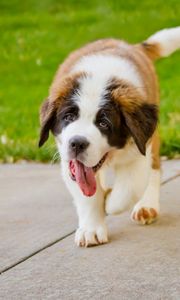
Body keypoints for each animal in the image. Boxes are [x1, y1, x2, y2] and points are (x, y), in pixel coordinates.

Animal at [38, 26, 179, 246]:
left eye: (104, 124)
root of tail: (134, 46)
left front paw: (109, 200)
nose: (77, 143)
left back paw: (146, 205)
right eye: (69, 117)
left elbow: (128, 190)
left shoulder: (139, 149)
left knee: (154, 168)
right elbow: (86, 195)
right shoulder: (68, 161)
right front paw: (91, 228)